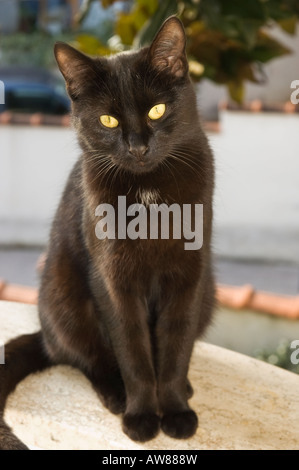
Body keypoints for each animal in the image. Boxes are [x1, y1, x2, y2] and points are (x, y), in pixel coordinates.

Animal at [0, 14, 216, 450]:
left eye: (157, 110)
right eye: (108, 120)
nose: (137, 147)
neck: (149, 192)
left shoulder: (190, 276)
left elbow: (176, 346)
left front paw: (176, 410)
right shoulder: (114, 280)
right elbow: (133, 353)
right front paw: (142, 416)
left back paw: (184, 390)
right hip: (64, 293)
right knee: (85, 357)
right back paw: (116, 395)